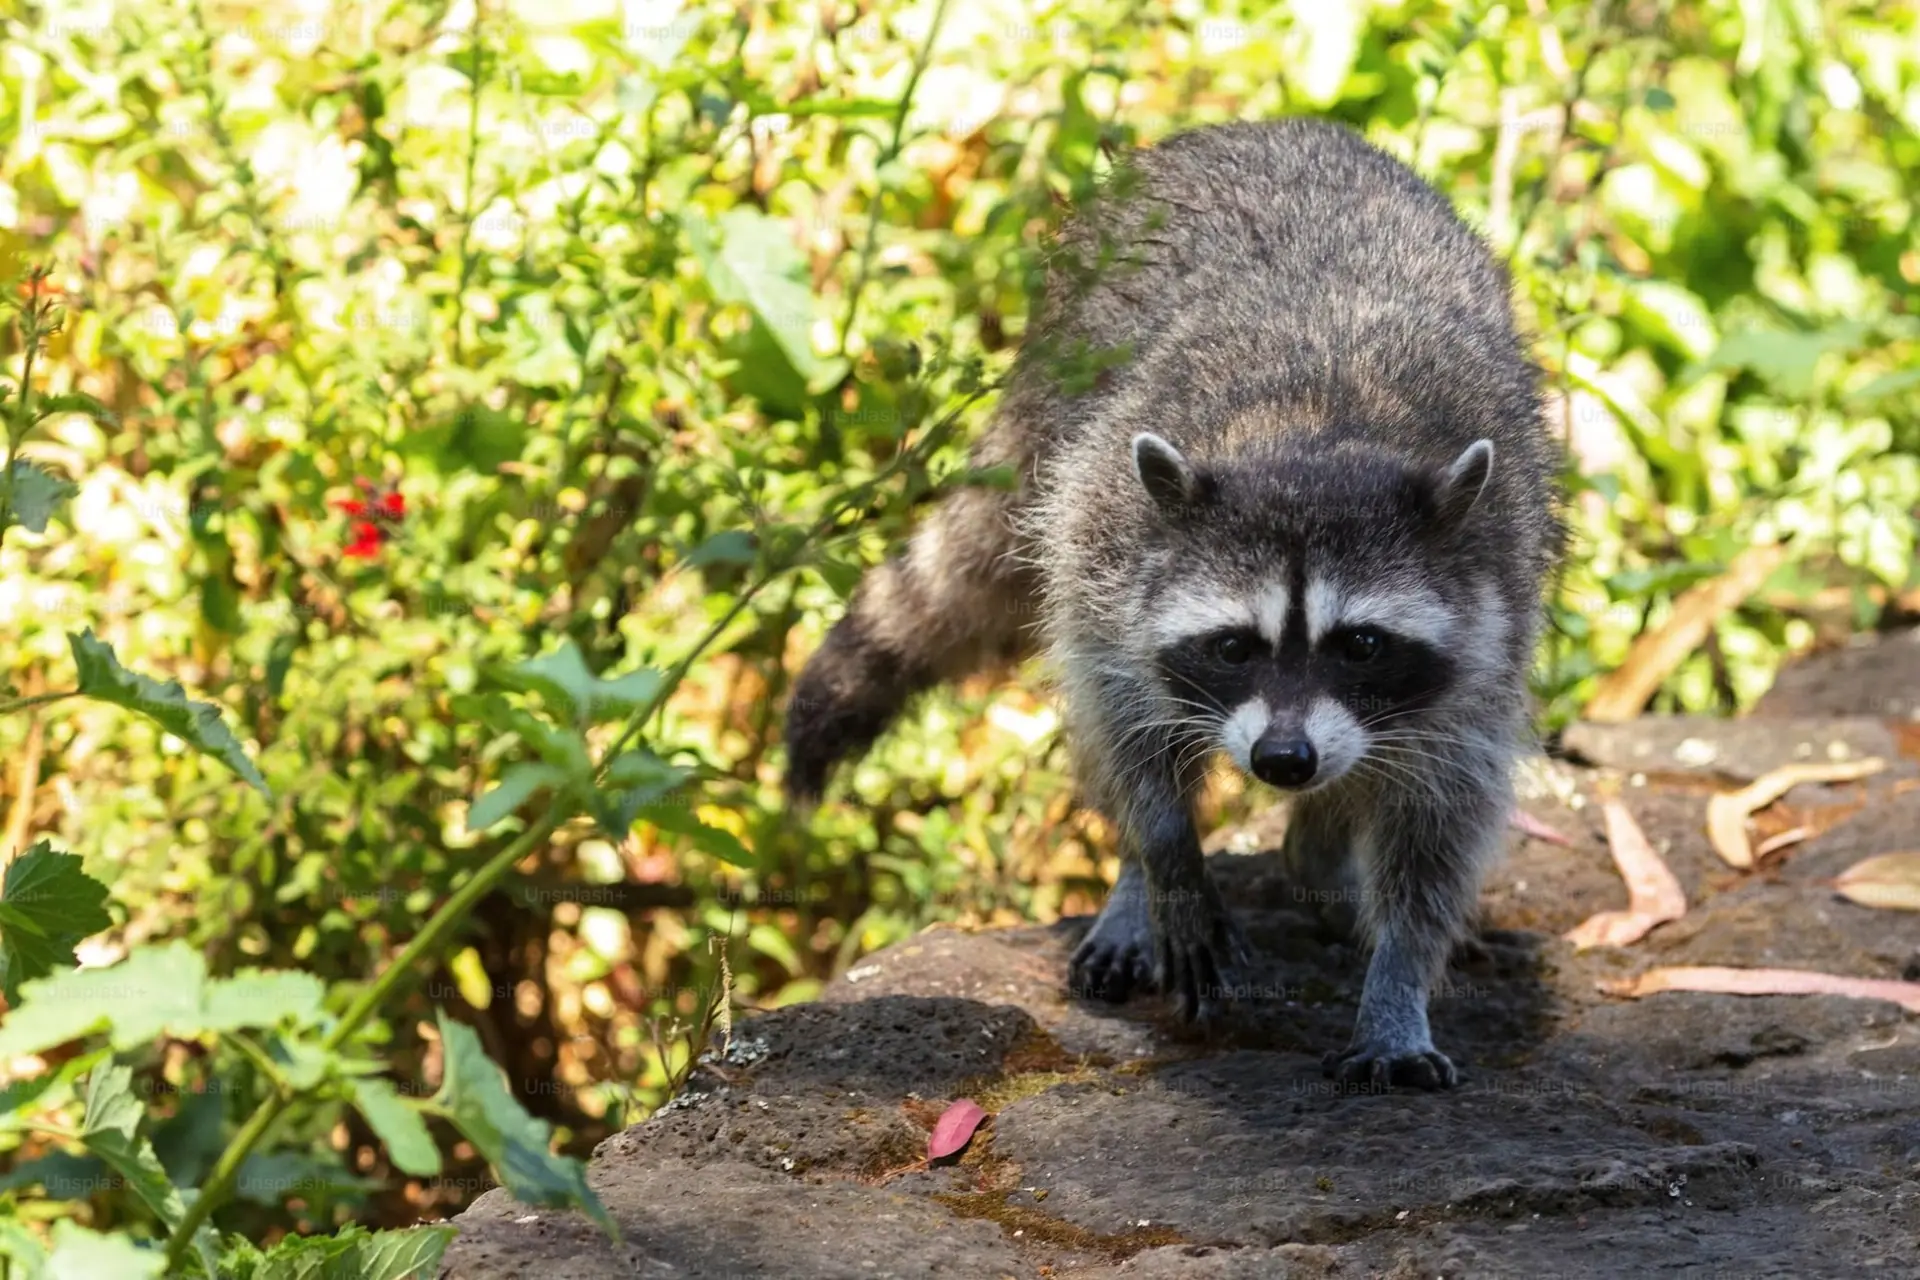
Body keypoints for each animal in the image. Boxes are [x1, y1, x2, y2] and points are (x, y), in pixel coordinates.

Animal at [786, 118, 1562, 1089]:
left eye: (1361, 644)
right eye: (1233, 645)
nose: (1283, 760)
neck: (1318, 432)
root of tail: (1258, 126)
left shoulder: (1495, 608)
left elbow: (1440, 820)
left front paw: (1398, 986)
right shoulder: (1105, 537)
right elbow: (1122, 716)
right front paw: (1161, 856)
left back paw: (1319, 854)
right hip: (1059, 404)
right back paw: (1137, 885)